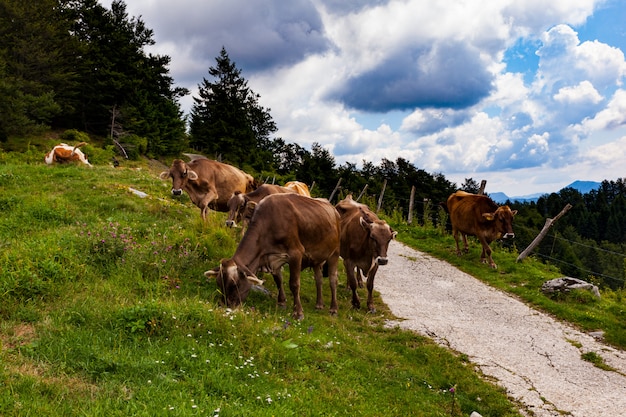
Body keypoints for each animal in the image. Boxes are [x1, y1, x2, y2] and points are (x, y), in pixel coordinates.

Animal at [205, 193, 342, 318]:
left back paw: (333, 309)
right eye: (219, 283)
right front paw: (281, 302)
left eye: (235, 285)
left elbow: (294, 284)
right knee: (318, 279)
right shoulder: (272, 258)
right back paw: (319, 304)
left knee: (333, 280)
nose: (226, 306)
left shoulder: (296, 253)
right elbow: (278, 280)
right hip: (316, 258)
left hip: (335, 253)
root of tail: (333, 208)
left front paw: (298, 312)